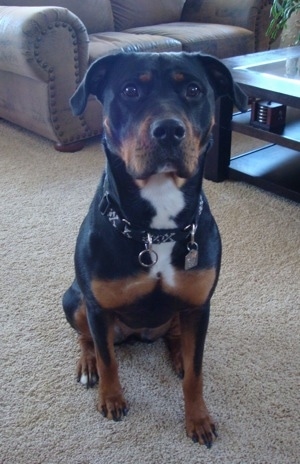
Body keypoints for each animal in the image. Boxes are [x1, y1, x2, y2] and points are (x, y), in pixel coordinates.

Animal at [62, 52, 246, 448]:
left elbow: (196, 373)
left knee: (177, 339)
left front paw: (198, 419)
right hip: (73, 299)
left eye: (194, 89)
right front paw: (112, 399)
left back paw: (177, 354)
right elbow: (109, 360)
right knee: (88, 338)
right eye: (130, 90)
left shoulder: (198, 306)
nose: (169, 130)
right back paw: (87, 364)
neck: (155, 230)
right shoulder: (98, 307)